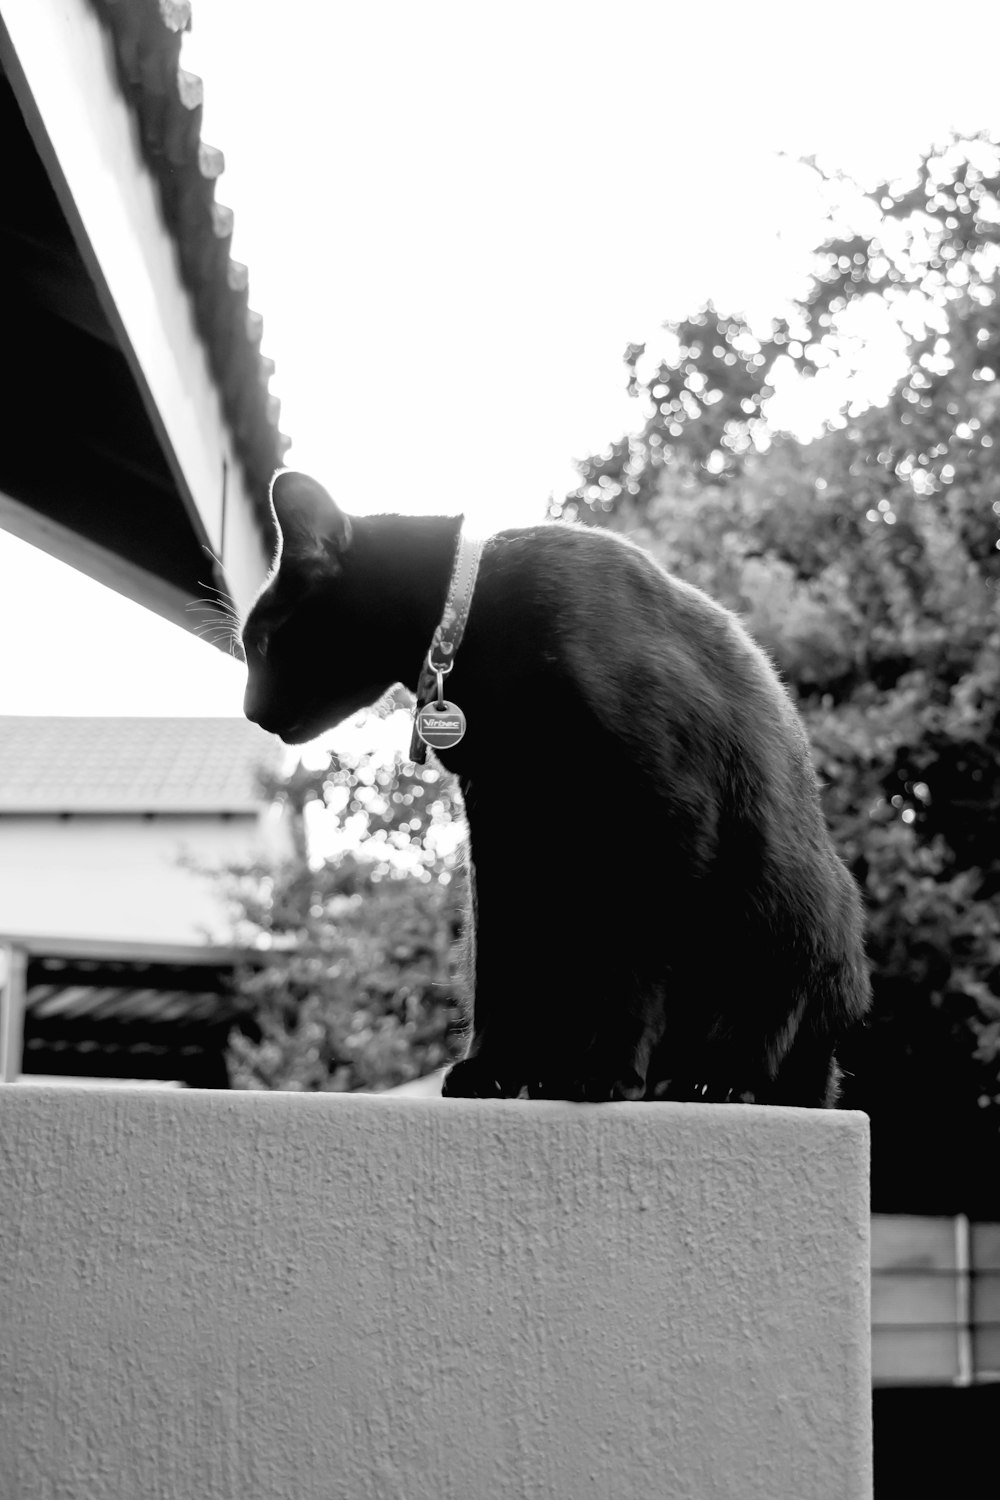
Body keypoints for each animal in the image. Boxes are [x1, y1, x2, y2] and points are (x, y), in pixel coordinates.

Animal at [239, 468, 869, 1104]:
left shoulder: (665, 811)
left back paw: (709, 1076)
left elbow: (632, 961)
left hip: (783, 910)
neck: (473, 624)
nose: (250, 713)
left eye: (262, 643)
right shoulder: (500, 821)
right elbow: (502, 961)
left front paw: (606, 1069)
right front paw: (490, 1064)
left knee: (765, 1029)